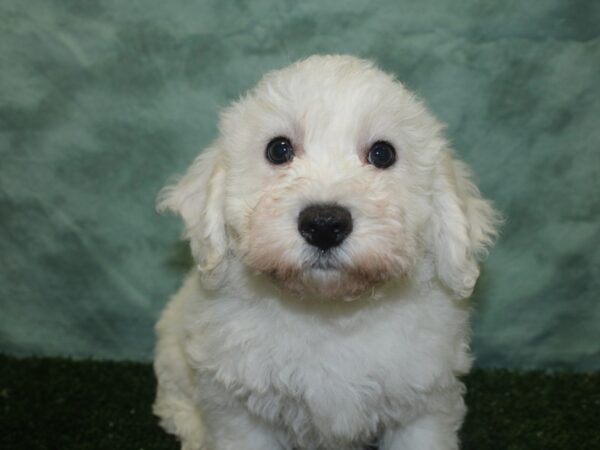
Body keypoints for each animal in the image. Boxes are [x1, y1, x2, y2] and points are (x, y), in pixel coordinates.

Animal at [154, 53, 496, 450]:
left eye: (382, 154)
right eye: (279, 150)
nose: (324, 224)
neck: (329, 314)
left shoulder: (424, 402)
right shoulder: (238, 408)